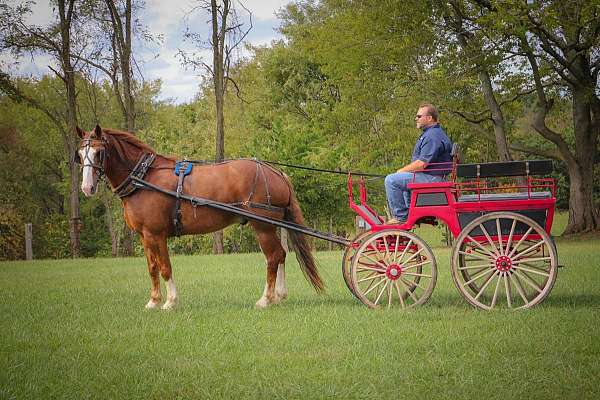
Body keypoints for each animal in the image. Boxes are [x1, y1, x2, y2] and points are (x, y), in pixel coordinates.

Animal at [78, 125, 326, 310]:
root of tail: (276, 172)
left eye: (99, 152)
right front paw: (153, 301)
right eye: (80, 154)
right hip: (272, 226)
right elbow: (152, 267)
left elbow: (165, 267)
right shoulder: (144, 235)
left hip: (263, 227)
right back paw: (279, 295)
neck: (144, 179)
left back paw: (265, 299)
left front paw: (170, 302)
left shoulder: (157, 234)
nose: (87, 188)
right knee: (282, 255)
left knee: (273, 257)